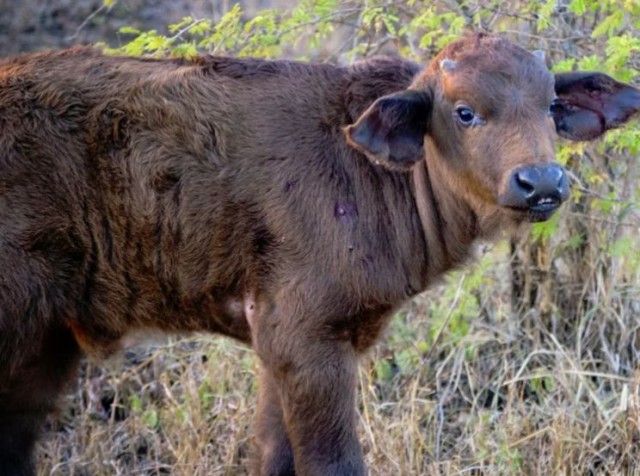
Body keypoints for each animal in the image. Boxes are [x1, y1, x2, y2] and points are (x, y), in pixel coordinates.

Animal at [0, 31, 636, 474]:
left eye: (551, 105)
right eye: (464, 111)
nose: (542, 182)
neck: (365, 167)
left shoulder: (280, 347)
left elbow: (273, 457)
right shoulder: (309, 343)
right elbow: (333, 463)